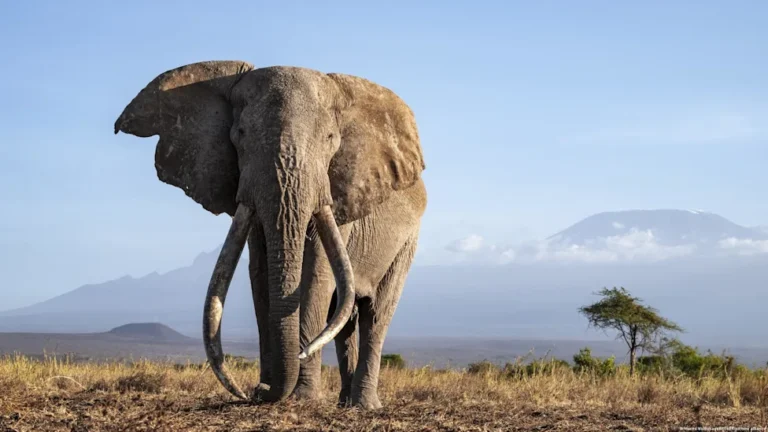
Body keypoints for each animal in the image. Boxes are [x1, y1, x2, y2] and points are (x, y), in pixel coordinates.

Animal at [113, 60, 427, 409]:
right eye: (240, 135)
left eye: (331, 139)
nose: (254, 390)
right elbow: (260, 273)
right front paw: (270, 390)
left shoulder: (340, 193)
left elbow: (316, 277)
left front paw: (301, 397)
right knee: (345, 319)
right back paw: (345, 403)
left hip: (408, 241)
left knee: (376, 313)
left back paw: (364, 405)